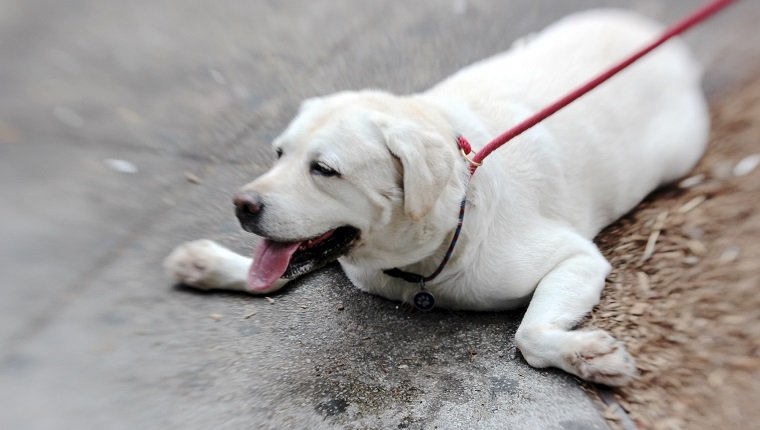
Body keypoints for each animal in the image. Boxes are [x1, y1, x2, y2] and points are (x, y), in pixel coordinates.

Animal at [163, 10, 708, 386]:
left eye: (324, 170)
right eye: (279, 153)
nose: (241, 205)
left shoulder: (577, 257)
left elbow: (528, 335)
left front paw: (587, 356)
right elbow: (269, 275)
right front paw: (212, 264)